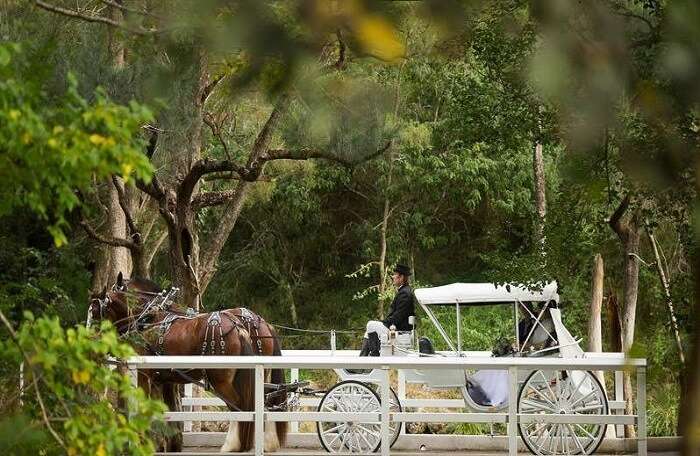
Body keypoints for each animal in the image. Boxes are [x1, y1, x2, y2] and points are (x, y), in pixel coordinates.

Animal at [89, 270, 288, 452]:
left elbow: (147, 409)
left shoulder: (146, 375)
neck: (147, 318)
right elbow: (169, 412)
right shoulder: (166, 379)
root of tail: (240, 326)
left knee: (240, 406)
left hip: (221, 380)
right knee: (264, 403)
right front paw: (171, 444)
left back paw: (232, 444)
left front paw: (146, 443)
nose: (91, 341)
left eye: (96, 313)